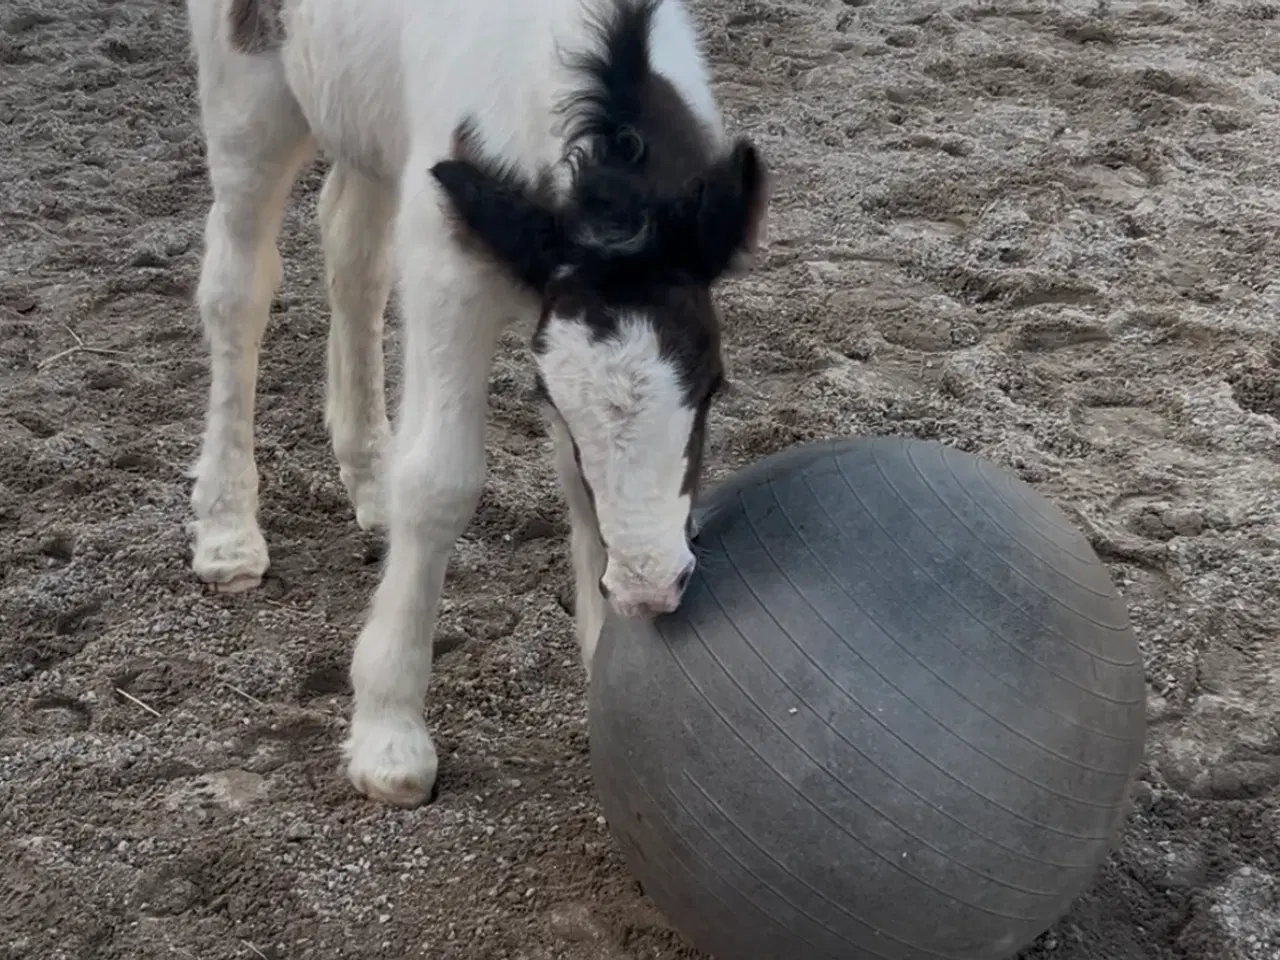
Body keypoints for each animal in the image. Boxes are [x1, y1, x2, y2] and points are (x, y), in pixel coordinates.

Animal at [184, 0, 762, 808]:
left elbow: (578, 488)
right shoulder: (450, 270)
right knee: (236, 285)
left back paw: (369, 479)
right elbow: (440, 482)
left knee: (351, 248)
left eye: (713, 384)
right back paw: (227, 531)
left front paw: (602, 668)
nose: (651, 589)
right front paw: (389, 733)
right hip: (248, 97)